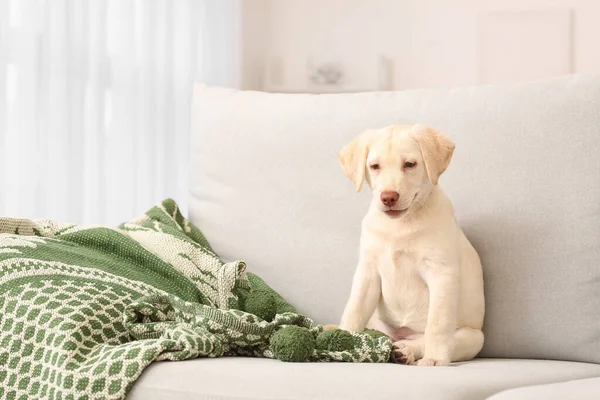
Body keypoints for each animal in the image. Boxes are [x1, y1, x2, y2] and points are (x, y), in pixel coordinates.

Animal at [336, 124, 486, 366]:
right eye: (374, 166)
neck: (399, 226)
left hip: (473, 337)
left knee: (432, 339)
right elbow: (354, 310)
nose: (388, 197)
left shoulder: (442, 275)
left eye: (409, 164)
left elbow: (437, 324)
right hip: (377, 324)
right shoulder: (368, 271)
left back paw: (407, 350)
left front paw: (434, 358)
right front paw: (341, 338)